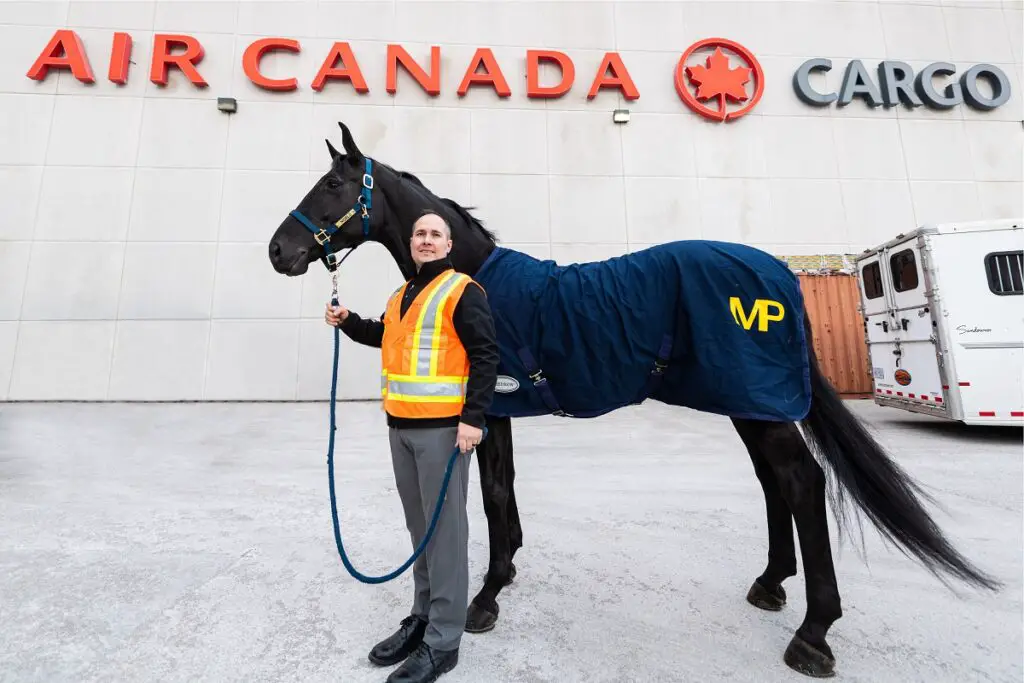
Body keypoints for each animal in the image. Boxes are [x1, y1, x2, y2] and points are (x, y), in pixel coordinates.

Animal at [270, 122, 999, 679]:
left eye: (333, 185)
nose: (280, 250)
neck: (471, 275)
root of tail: (777, 275)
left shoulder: (491, 412)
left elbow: (495, 496)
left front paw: (486, 596)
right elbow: (505, 493)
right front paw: (503, 579)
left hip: (759, 406)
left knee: (800, 480)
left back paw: (813, 633)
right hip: (748, 403)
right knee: (775, 481)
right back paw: (770, 584)